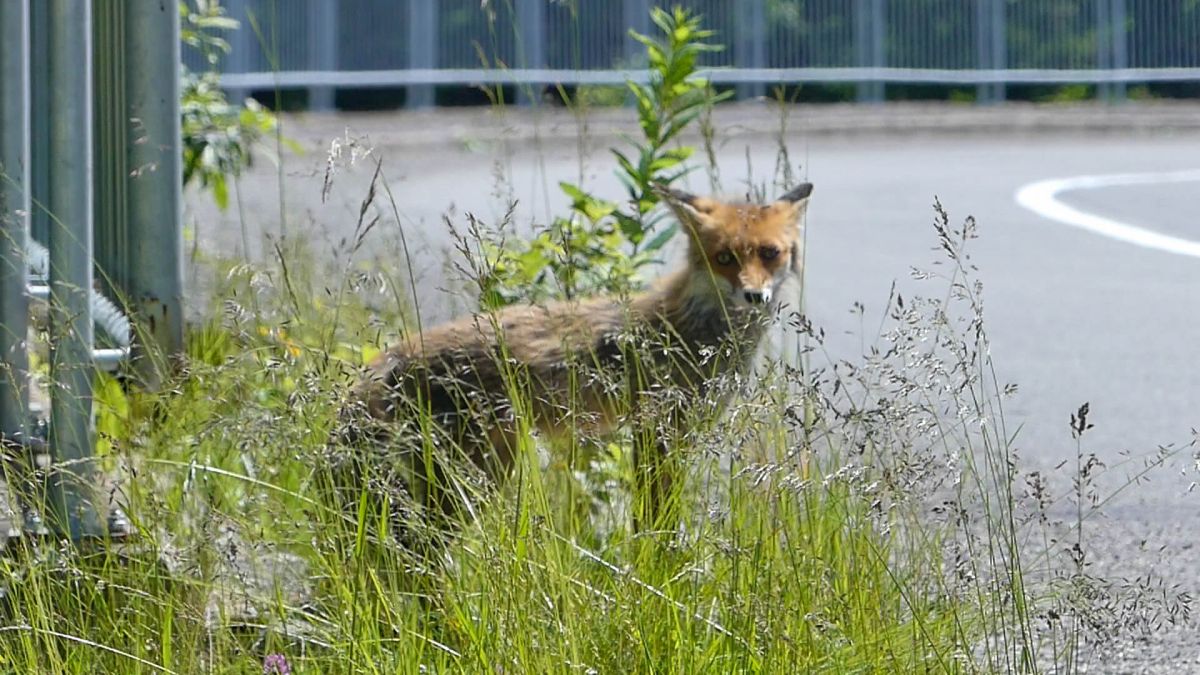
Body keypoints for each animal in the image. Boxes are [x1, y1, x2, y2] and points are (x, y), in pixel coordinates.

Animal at [333, 181, 811, 550]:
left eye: (770, 253)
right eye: (725, 258)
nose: (754, 296)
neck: (694, 330)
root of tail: (386, 360)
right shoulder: (657, 430)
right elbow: (654, 518)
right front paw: (658, 565)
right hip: (474, 477)